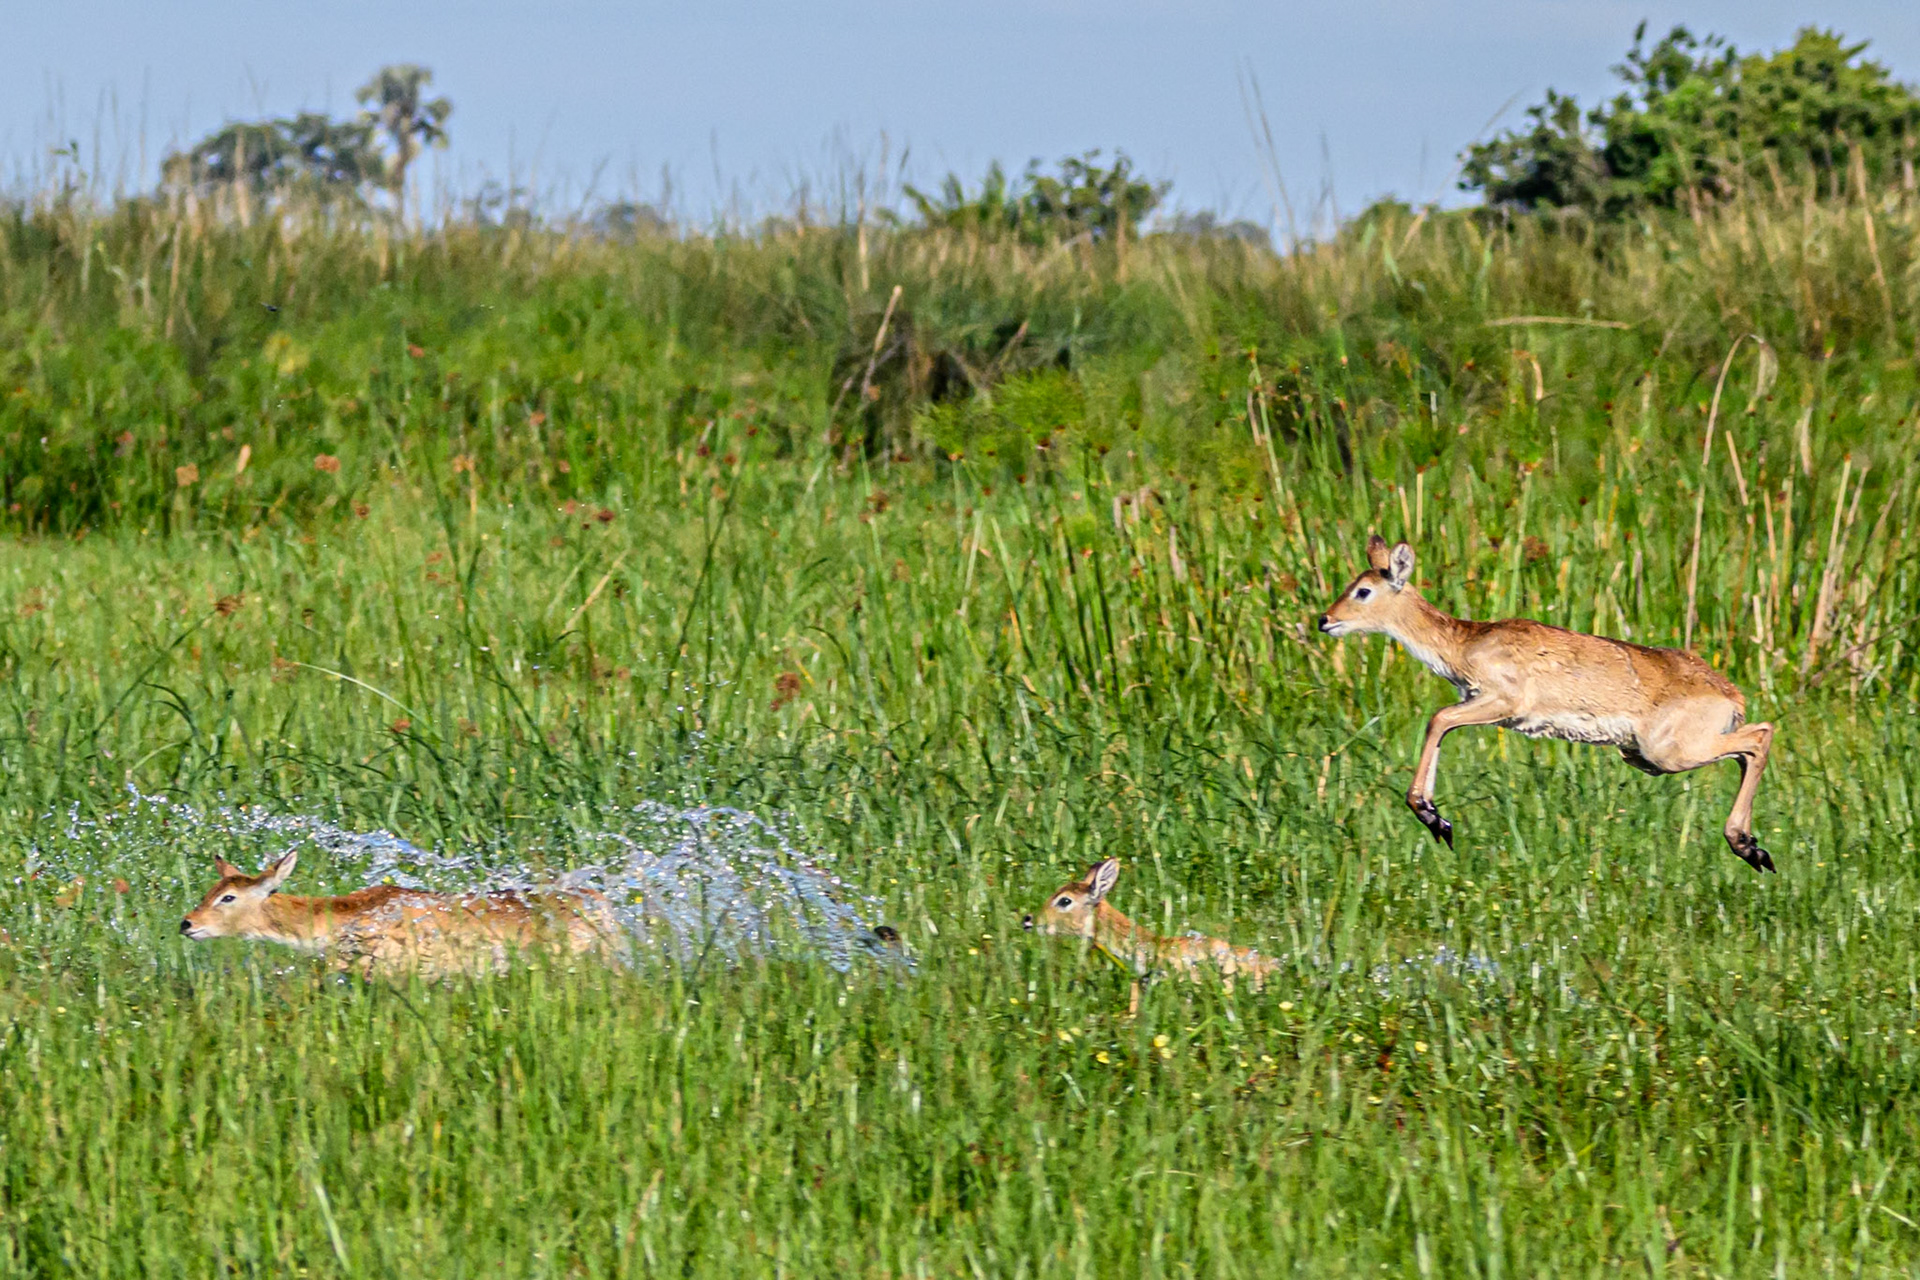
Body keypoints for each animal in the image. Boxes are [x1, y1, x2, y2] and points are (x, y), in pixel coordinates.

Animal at [1318, 535, 1776, 871]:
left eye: (1363, 590)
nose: (1325, 619)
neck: (1464, 643)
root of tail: (1731, 693)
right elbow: (1442, 726)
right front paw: (1436, 817)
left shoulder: (1502, 703)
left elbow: (1438, 718)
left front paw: (1434, 818)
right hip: (1647, 755)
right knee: (1748, 748)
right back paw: (1753, 848)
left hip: (1666, 752)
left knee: (1760, 735)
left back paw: (1747, 847)